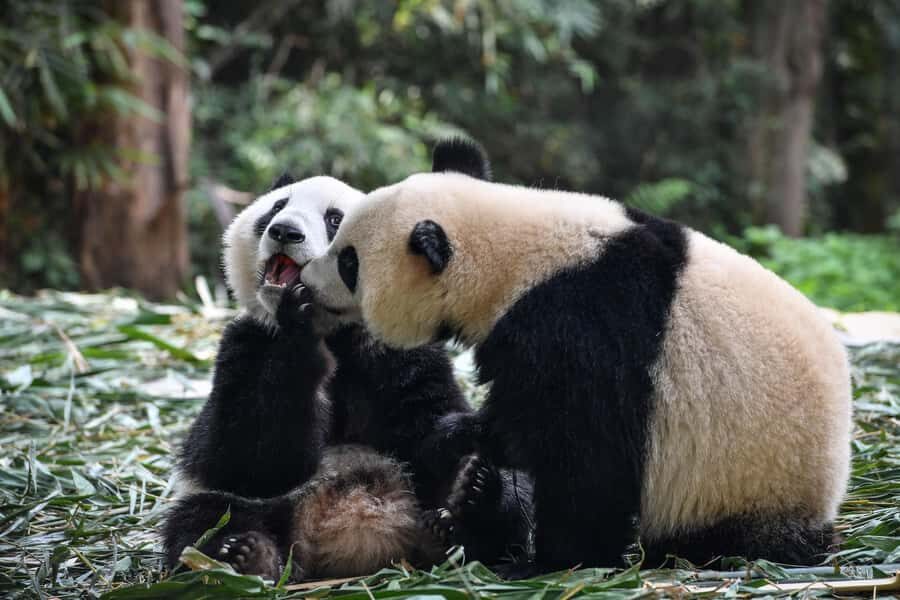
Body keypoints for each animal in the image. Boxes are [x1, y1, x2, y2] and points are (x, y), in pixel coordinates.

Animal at [163, 173, 533, 581]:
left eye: (334, 219)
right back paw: (246, 556)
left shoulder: (399, 353)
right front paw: (299, 334)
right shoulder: (247, 343)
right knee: (202, 520)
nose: (284, 231)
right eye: (276, 207)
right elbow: (248, 458)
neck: (334, 333)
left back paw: (466, 511)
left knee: (514, 497)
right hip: (242, 507)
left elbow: (432, 426)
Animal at [299, 138, 853, 575]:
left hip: (741, 481)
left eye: (348, 262)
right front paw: (464, 448)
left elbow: (584, 451)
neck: (511, 253)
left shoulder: (580, 324)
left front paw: (550, 561)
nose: (305, 279)